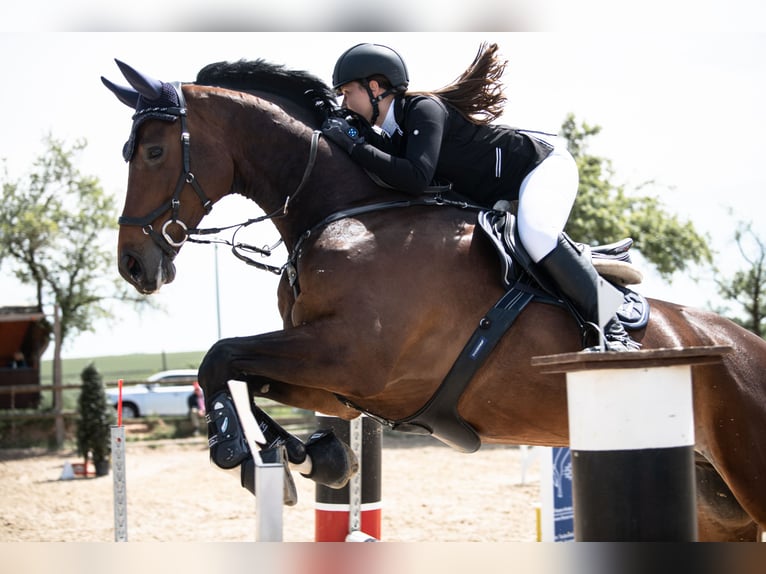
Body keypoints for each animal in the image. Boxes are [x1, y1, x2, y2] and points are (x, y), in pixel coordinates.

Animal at [103, 56, 766, 544]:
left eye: (155, 152)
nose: (133, 264)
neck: (349, 211)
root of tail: (747, 347)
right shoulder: (336, 383)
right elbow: (242, 373)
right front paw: (310, 457)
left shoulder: (351, 358)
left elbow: (220, 355)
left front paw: (233, 448)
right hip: (717, 506)